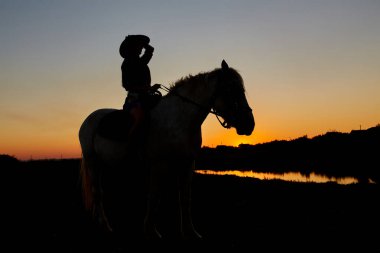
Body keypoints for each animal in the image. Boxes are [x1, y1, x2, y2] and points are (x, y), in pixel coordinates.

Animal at [78, 60, 255, 240]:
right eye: (231, 89)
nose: (249, 124)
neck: (180, 119)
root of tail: (89, 119)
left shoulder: (187, 164)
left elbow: (185, 199)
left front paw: (190, 232)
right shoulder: (159, 165)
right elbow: (154, 197)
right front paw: (151, 231)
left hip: (102, 164)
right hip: (92, 161)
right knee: (97, 192)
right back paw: (105, 226)